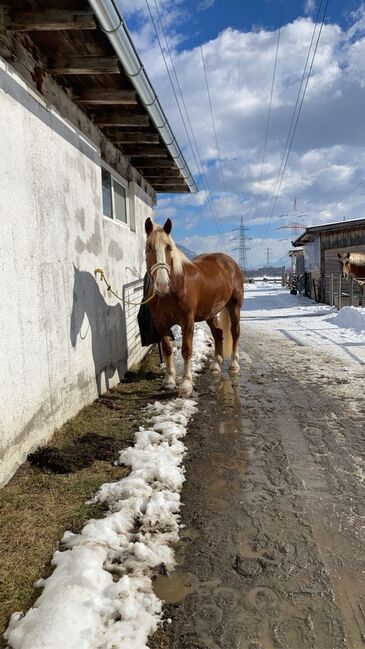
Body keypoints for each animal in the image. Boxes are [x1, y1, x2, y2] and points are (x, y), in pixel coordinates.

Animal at [144, 218, 243, 398]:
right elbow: (167, 349)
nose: (162, 284)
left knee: (235, 332)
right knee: (218, 334)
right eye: (148, 248)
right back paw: (216, 365)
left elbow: (186, 350)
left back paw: (233, 364)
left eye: (169, 248)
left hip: (234, 307)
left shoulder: (187, 321)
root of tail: (230, 262)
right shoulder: (160, 323)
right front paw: (169, 380)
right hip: (210, 312)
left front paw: (186, 385)